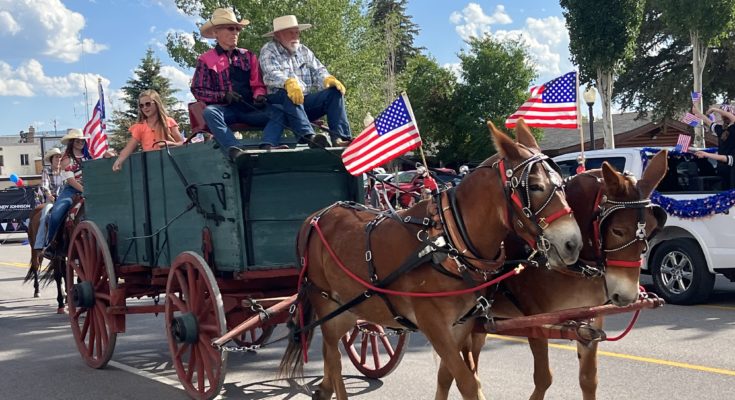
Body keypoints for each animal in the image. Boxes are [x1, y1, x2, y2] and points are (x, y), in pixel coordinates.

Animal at [278, 120, 583, 400]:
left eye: (561, 184)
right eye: (535, 186)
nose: (573, 243)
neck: (447, 243)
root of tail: (314, 217)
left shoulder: (460, 326)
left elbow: (446, 378)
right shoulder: (434, 326)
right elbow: (468, 383)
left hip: (351, 311)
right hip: (329, 308)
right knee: (333, 359)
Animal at [434, 150, 668, 400]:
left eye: (652, 229)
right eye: (618, 230)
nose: (626, 296)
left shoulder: (590, 322)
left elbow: (589, 380)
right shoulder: (536, 322)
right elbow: (544, 378)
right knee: (450, 372)